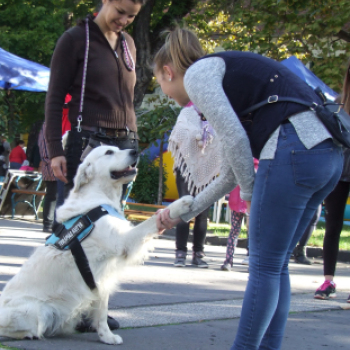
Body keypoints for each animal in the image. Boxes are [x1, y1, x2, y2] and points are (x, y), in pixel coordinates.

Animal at [0, 145, 193, 344]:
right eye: (108, 152)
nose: (135, 151)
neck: (101, 197)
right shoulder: (122, 242)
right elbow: (150, 222)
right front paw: (180, 204)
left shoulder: (100, 280)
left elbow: (101, 313)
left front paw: (106, 336)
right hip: (33, 310)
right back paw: (30, 334)